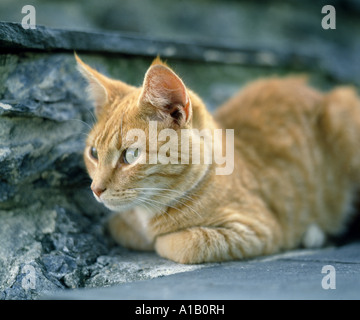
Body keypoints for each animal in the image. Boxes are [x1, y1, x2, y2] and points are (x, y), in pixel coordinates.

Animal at [76, 55, 360, 264]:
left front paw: (159, 240)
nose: (95, 189)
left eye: (131, 155)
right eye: (94, 153)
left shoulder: (258, 229)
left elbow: (180, 243)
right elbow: (120, 227)